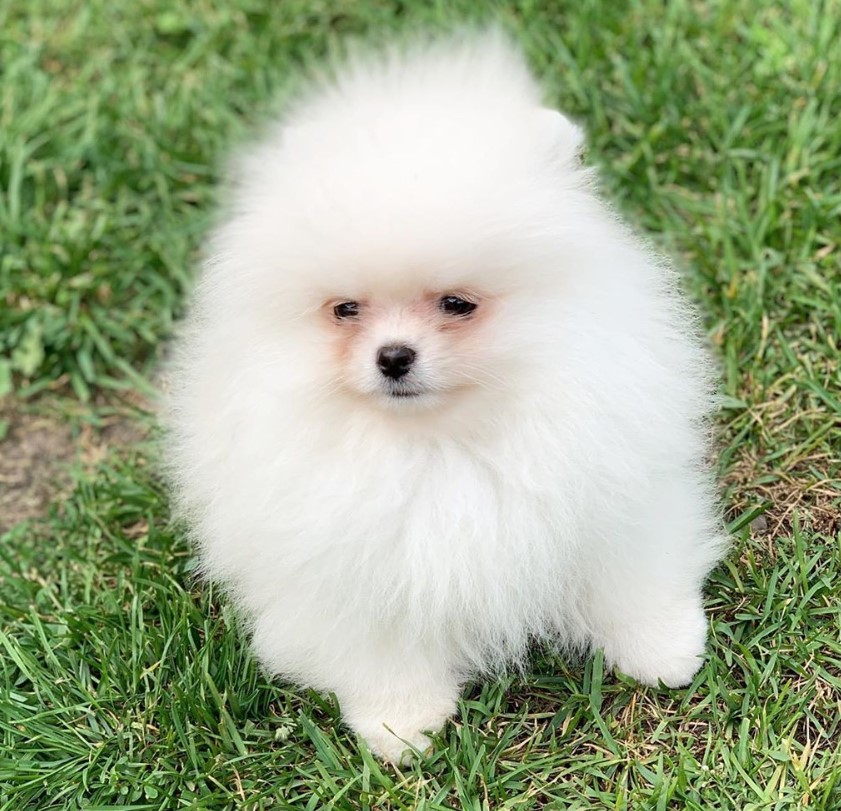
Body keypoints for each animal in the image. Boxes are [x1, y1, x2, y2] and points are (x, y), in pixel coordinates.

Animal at [164, 31, 720, 764]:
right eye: (345, 310)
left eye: (457, 303)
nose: (393, 356)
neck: (441, 438)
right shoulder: (343, 559)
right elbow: (376, 643)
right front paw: (400, 721)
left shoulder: (610, 489)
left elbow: (627, 571)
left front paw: (664, 648)